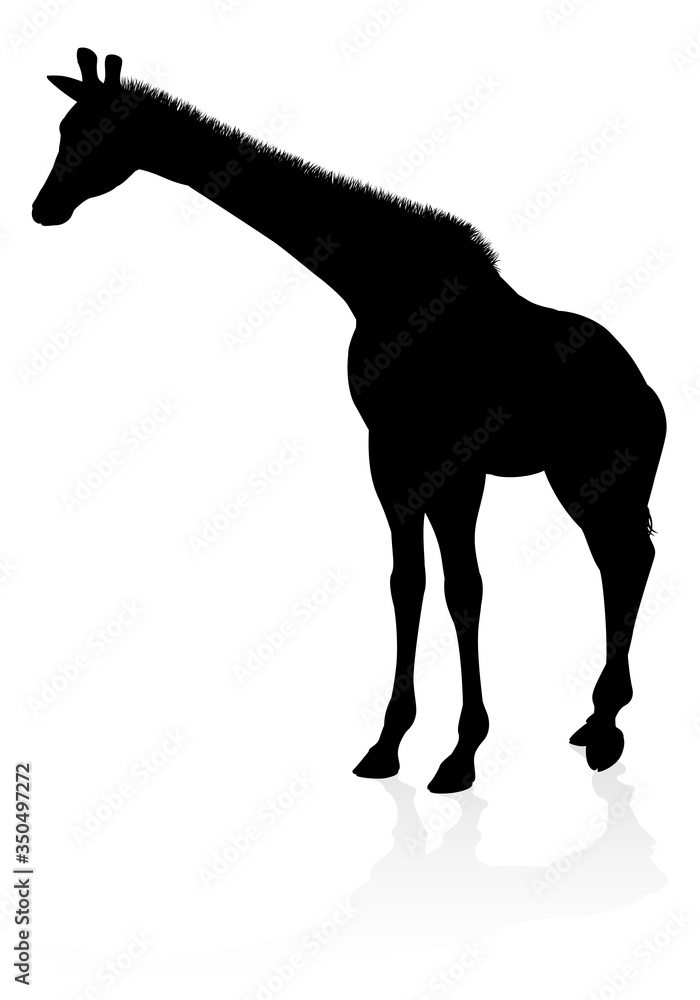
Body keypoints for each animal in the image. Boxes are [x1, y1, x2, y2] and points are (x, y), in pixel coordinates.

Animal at [33, 50, 666, 792]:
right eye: (63, 127)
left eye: (95, 133)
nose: (43, 208)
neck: (377, 287)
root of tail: (649, 395)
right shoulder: (394, 455)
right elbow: (408, 586)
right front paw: (390, 743)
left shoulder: (453, 459)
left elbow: (463, 590)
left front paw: (460, 754)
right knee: (624, 560)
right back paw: (595, 721)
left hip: (593, 475)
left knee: (625, 560)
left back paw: (606, 725)